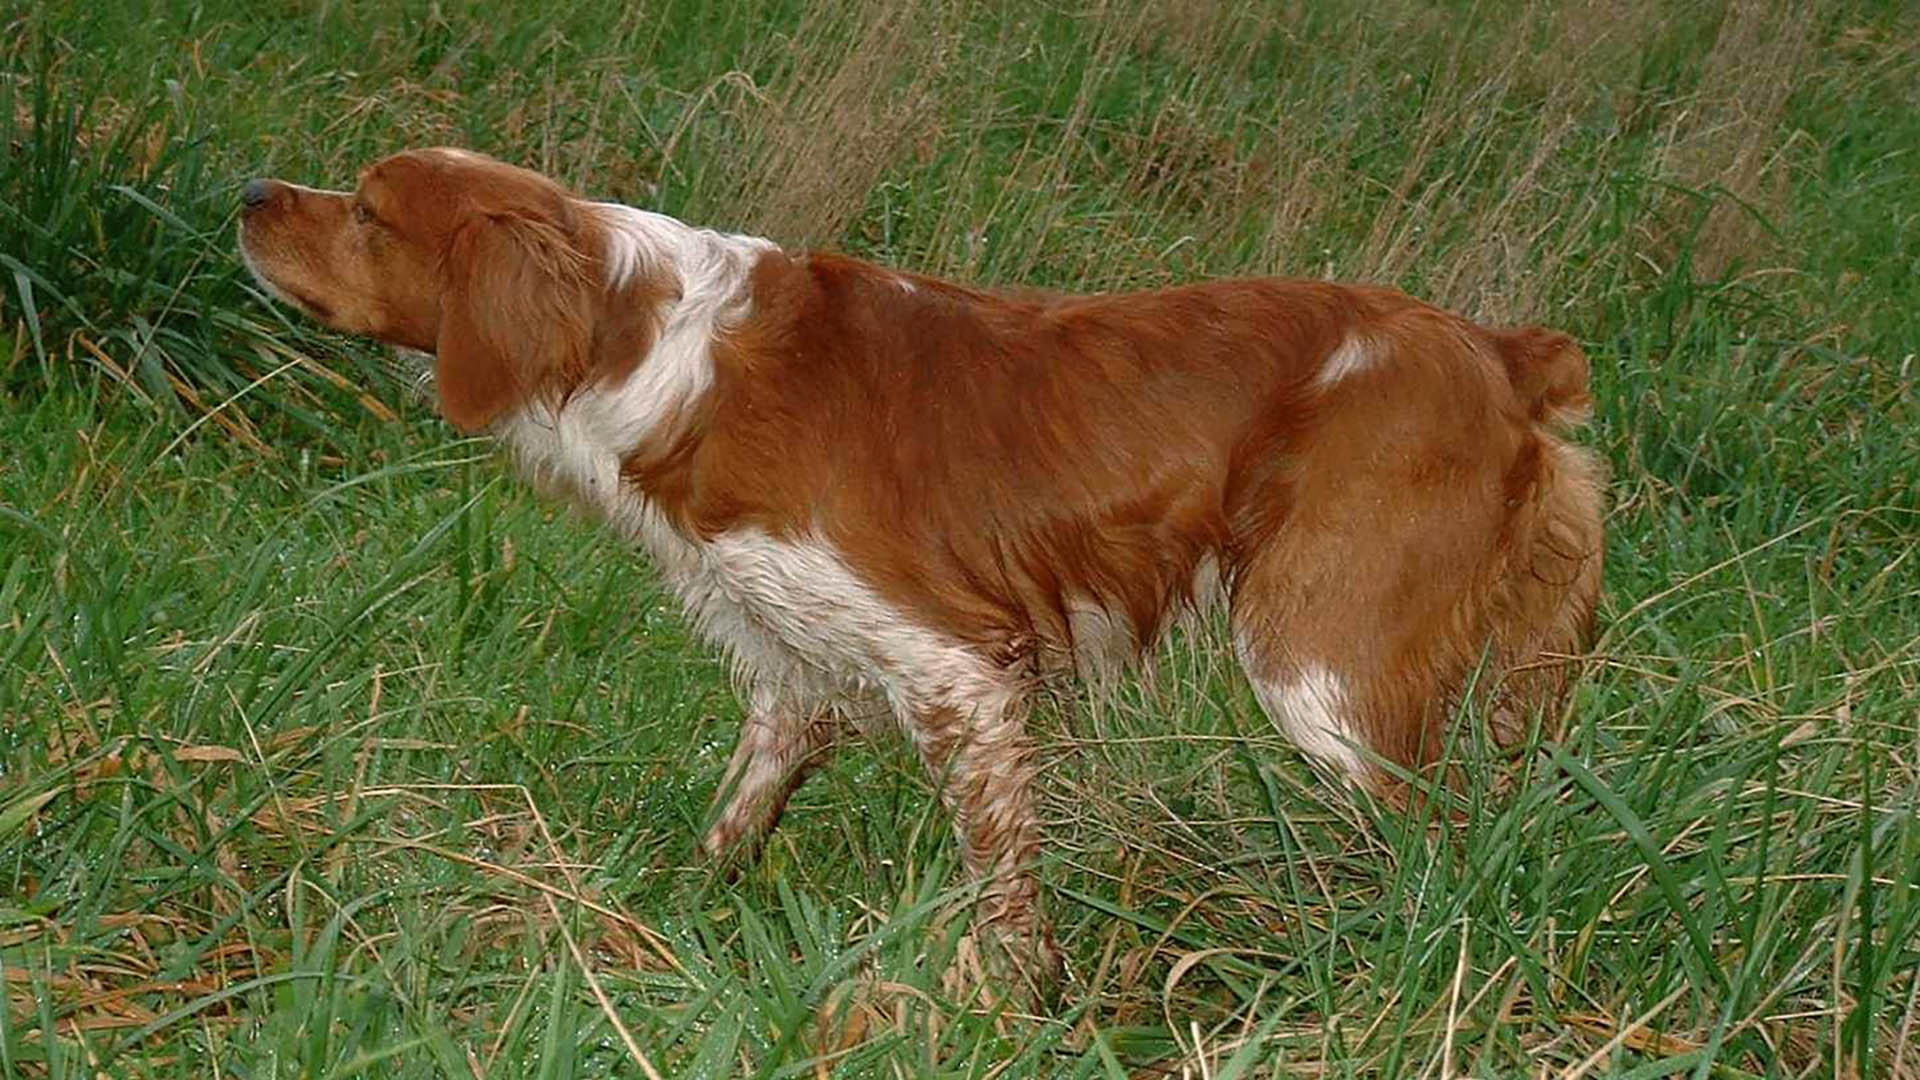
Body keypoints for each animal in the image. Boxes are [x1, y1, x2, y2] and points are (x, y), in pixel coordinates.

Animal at [240, 147, 1605, 991]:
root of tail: (1498, 349)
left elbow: (1001, 889)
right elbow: (730, 823)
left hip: (1320, 667)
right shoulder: (794, 678)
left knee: (1441, 842)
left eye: (367, 209)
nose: (252, 190)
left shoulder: (960, 671)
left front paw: (1008, 1007)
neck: (653, 353)